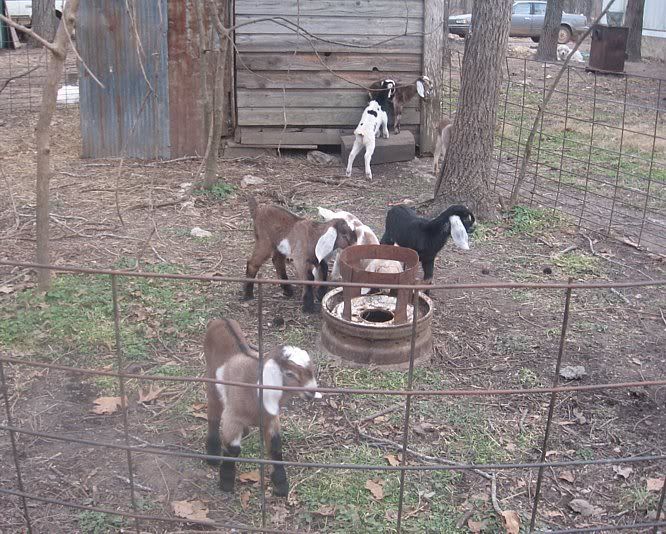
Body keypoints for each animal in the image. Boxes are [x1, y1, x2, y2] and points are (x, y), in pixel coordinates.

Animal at [205, 318, 321, 496]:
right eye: (289, 373)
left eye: (311, 370)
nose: (311, 392)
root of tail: (220, 319)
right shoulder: (233, 417)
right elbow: (233, 449)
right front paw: (226, 482)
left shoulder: (272, 419)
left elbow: (275, 447)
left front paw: (281, 485)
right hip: (211, 380)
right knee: (213, 412)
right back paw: (212, 453)